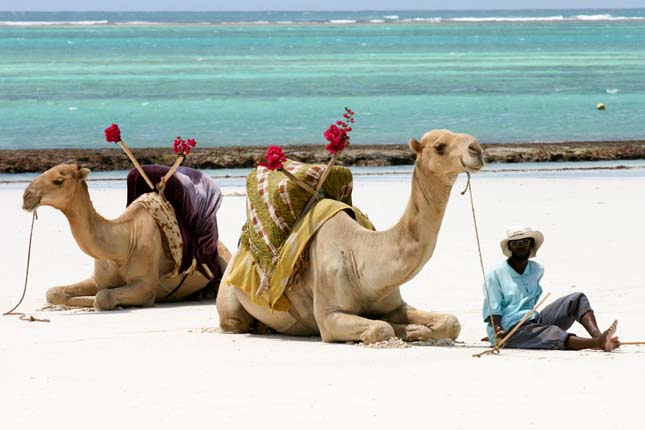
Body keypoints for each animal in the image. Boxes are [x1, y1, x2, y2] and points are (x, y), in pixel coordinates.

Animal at [21, 164, 230, 310]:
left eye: (58, 180)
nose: (26, 196)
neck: (124, 243)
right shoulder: (98, 279)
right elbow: (53, 292)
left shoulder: (145, 286)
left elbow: (103, 297)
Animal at [216, 127, 484, 342]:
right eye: (439, 146)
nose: (477, 149)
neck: (361, 257)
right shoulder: (328, 316)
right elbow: (381, 328)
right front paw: (410, 331)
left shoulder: (394, 304)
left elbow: (450, 322)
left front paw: (417, 330)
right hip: (229, 298)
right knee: (234, 321)